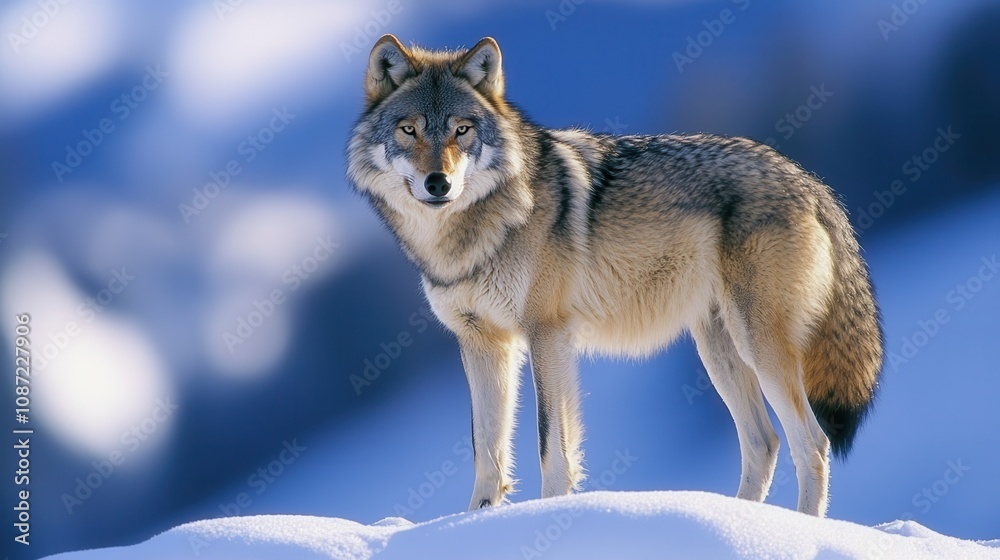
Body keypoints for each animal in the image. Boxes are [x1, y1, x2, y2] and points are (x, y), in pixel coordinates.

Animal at [347, 34, 883, 517]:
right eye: (409, 130)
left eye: (461, 130)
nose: (439, 183)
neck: (471, 236)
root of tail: (809, 181)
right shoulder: (482, 343)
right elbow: (487, 451)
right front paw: (477, 520)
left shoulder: (547, 334)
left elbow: (551, 446)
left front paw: (546, 515)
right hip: (718, 350)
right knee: (763, 442)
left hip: (760, 347)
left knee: (812, 444)